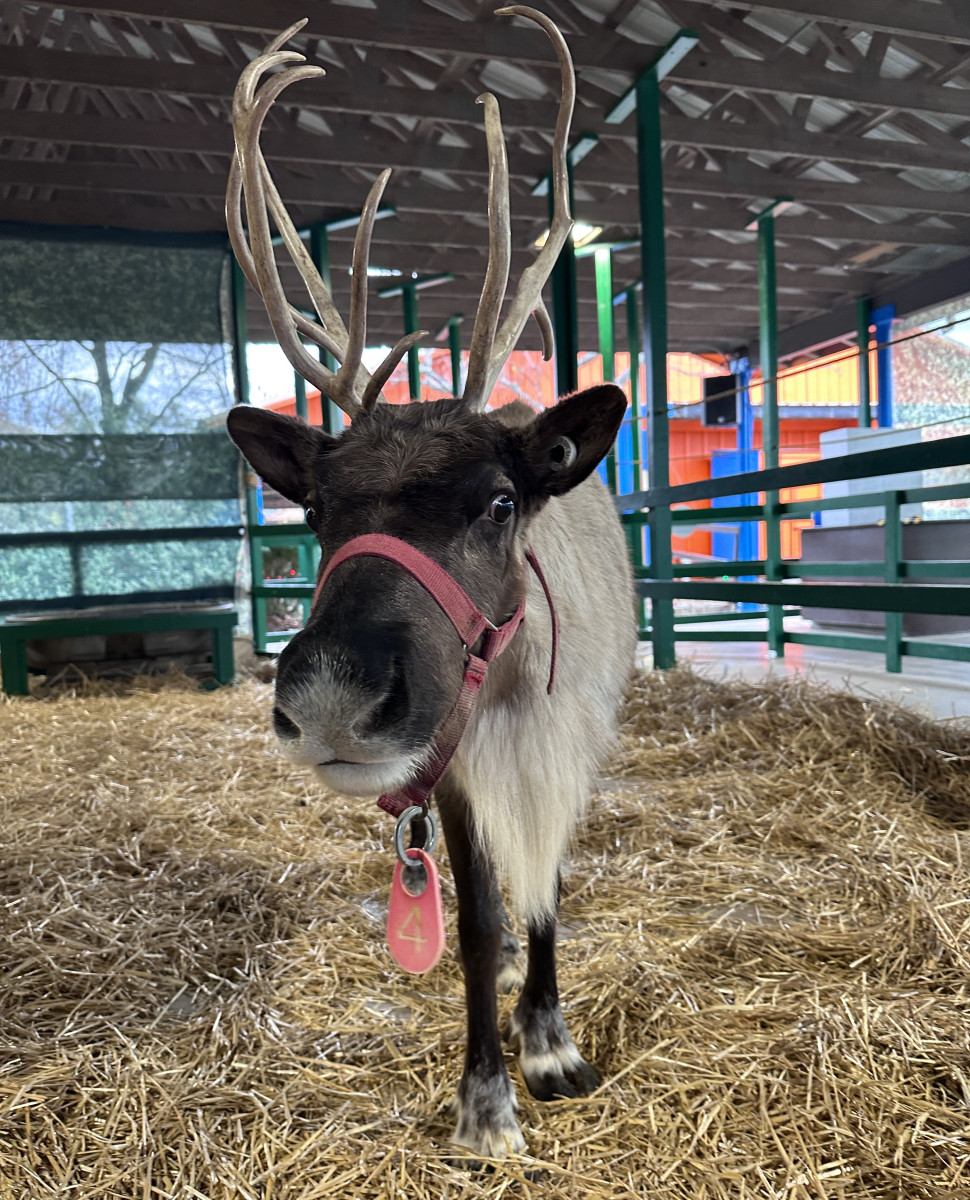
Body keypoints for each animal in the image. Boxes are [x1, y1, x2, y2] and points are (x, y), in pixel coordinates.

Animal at [224, 6, 636, 1161]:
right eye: (315, 508)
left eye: (498, 502)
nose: (331, 696)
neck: (515, 692)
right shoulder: (451, 767)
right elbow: (481, 918)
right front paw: (485, 1098)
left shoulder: (572, 740)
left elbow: (547, 887)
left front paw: (549, 1045)